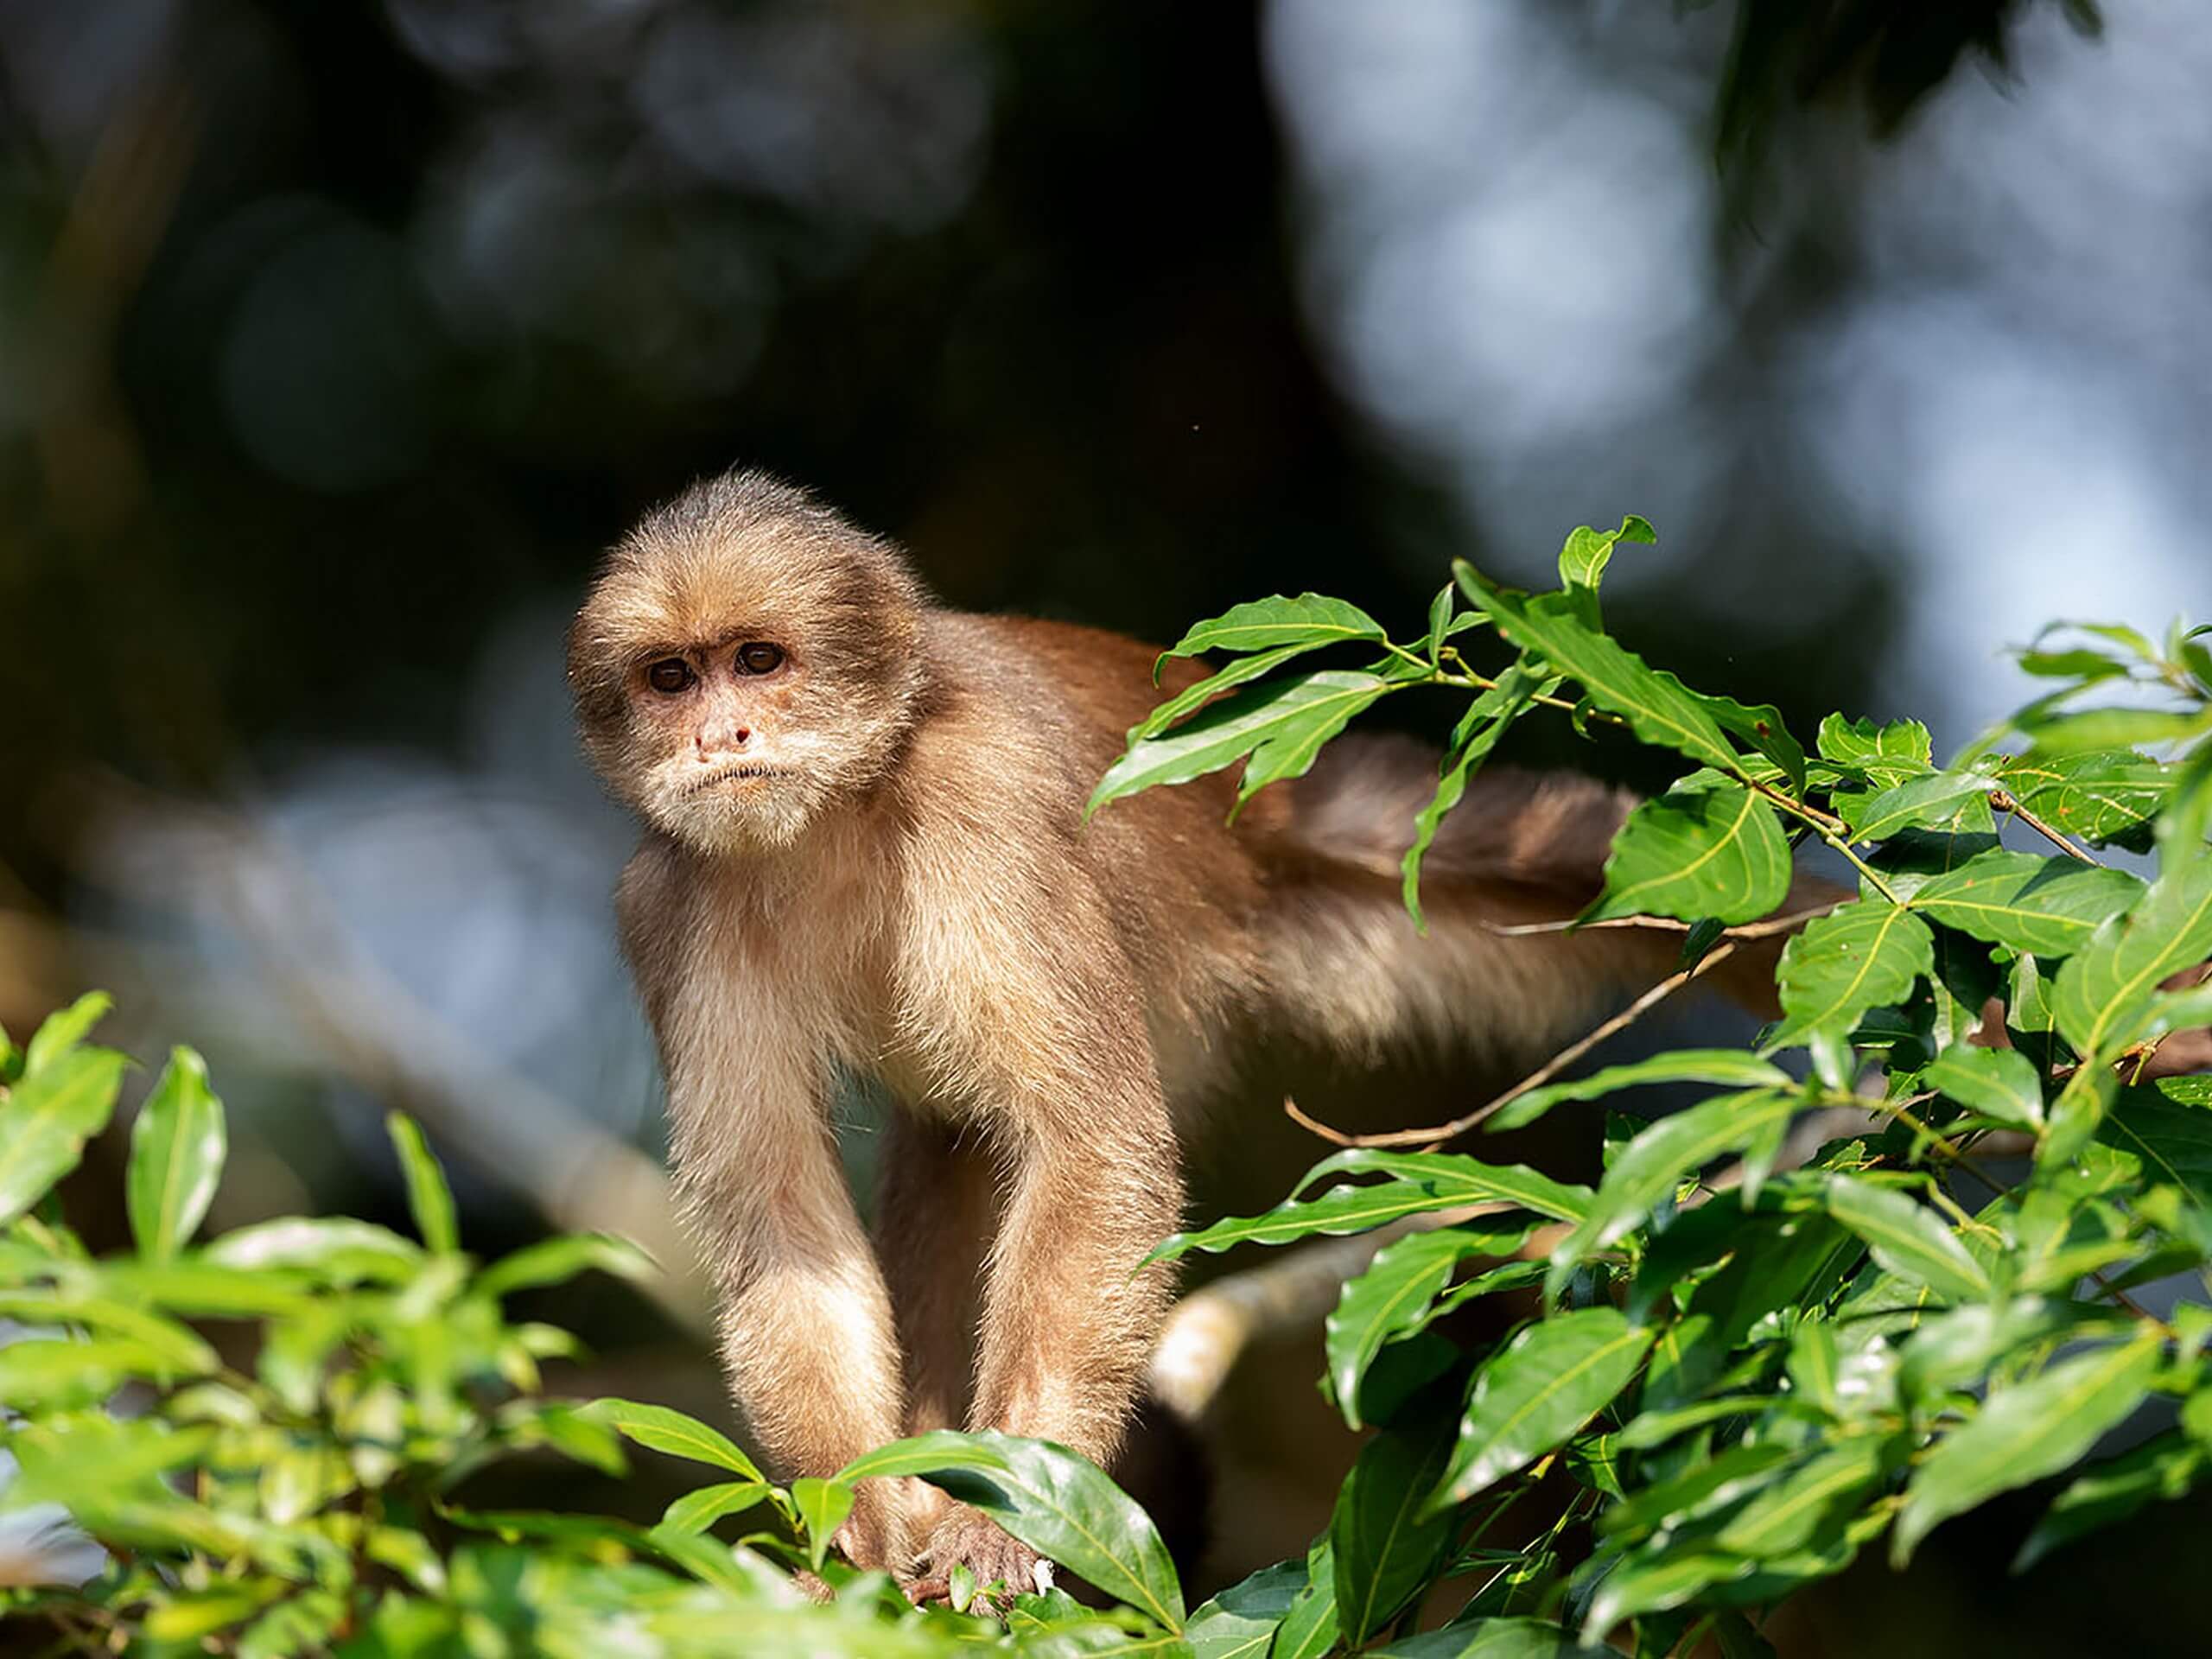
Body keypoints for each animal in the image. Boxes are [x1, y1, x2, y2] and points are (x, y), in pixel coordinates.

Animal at [575, 468, 1796, 1601]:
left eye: (759, 660)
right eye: (671, 677)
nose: (719, 732)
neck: (836, 816)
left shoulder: (984, 797)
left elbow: (1093, 1144)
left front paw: (999, 1526)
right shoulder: (665, 903)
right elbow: (781, 1221)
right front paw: (861, 1540)